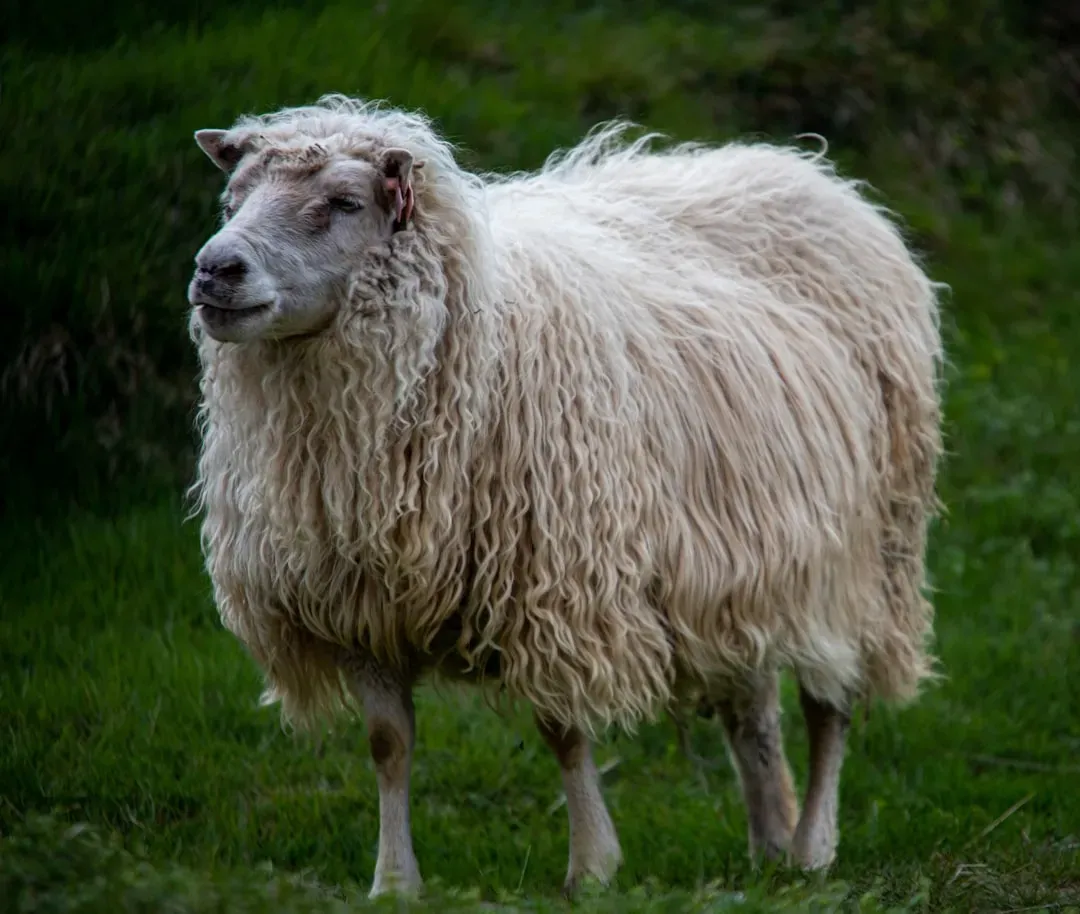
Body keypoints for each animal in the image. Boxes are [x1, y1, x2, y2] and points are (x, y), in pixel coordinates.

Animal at [186, 93, 944, 899]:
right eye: (233, 198)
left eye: (344, 202)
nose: (214, 269)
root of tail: (803, 169)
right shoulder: (358, 606)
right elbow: (388, 744)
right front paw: (393, 883)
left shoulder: (555, 583)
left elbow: (564, 731)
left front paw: (592, 869)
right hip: (750, 562)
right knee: (754, 708)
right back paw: (769, 841)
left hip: (864, 557)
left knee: (830, 705)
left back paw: (811, 847)